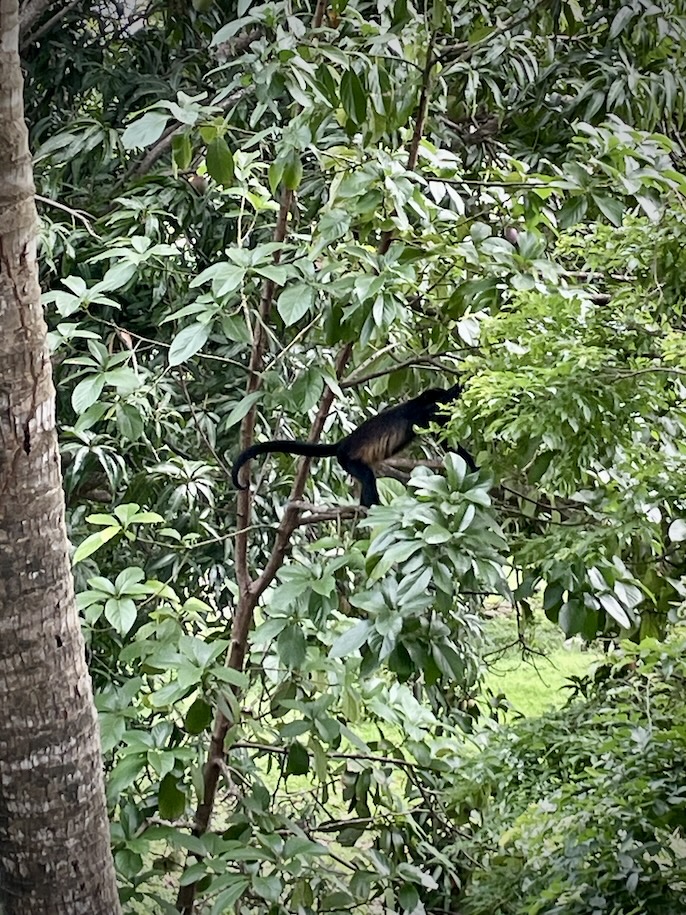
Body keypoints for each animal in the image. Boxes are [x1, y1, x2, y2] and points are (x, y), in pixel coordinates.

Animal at [232, 382, 478, 508]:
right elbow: (443, 436)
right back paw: (371, 508)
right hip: (347, 460)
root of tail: (342, 444)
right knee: (367, 476)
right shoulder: (421, 414)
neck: (417, 403)